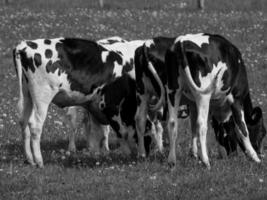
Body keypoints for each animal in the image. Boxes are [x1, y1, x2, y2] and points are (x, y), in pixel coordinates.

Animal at [13, 36, 162, 167]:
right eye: (148, 132)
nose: (148, 153)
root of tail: (25, 44)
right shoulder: (109, 105)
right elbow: (122, 131)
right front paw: (126, 154)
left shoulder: (93, 106)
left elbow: (97, 133)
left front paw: (96, 155)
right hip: (42, 96)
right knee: (35, 126)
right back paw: (39, 161)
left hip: (27, 96)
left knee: (23, 122)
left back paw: (30, 159)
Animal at [135, 33, 266, 168]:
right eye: (262, 132)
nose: (261, 153)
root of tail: (180, 42)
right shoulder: (236, 98)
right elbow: (242, 129)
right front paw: (254, 157)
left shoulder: (193, 103)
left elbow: (198, 127)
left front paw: (194, 153)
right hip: (202, 94)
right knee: (201, 124)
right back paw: (205, 161)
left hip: (161, 91)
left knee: (156, 120)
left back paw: (158, 158)